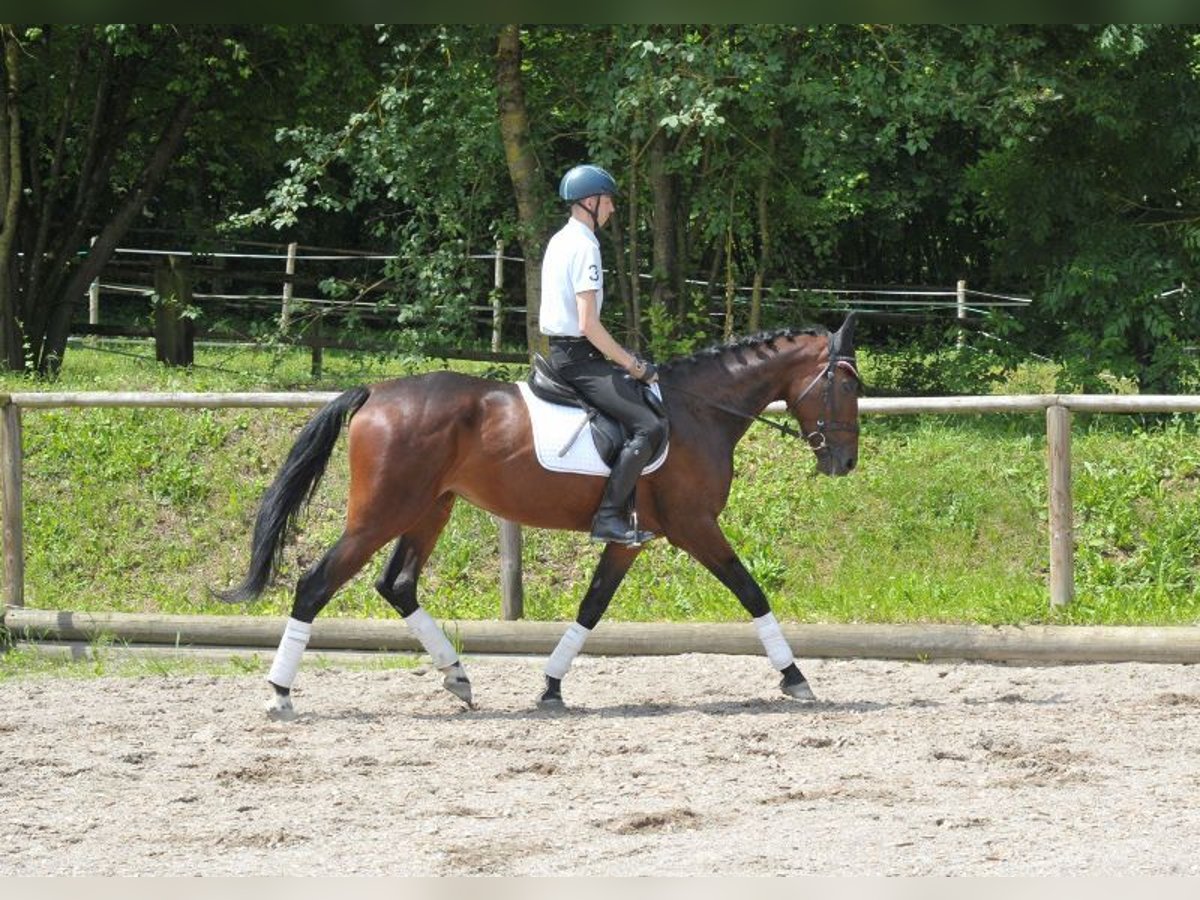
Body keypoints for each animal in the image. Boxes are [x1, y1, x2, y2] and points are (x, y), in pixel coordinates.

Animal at [220, 314, 864, 720]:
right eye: (846, 384)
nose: (845, 462)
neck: (696, 412)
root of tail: (376, 392)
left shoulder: (631, 538)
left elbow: (592, 607)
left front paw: (551, 687)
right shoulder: (694, 525)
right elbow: (750, 592)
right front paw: (796, 678)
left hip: (430, 508)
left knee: (396, 583)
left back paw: (457, 677)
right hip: (380, 513)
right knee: (315, 584)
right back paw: (280, 694)